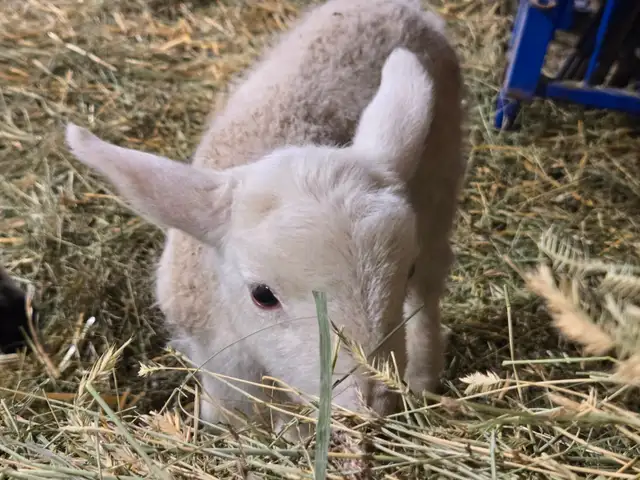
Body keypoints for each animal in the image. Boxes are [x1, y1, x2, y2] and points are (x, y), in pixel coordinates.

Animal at [65, 0, 465, 438]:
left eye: (403, 270)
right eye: (263, 295)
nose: (368, 410)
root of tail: (397, 6)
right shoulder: (219, 360)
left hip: (440, 170)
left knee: (429, 288)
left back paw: (424, 377)